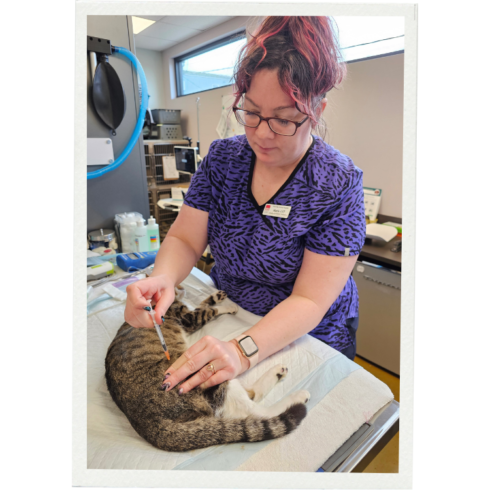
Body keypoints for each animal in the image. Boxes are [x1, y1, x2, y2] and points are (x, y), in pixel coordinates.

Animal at [105, 289, 310, 452]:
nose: (180, 290)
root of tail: (146, 421)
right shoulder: (189, 319)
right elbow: (210, 310)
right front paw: (227, 306)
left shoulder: (189, 314)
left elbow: (205, 303)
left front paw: (218, 296)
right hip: (208, 376)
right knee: (253, 409)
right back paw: (298, 397)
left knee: (252, 395)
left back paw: (278, 372)